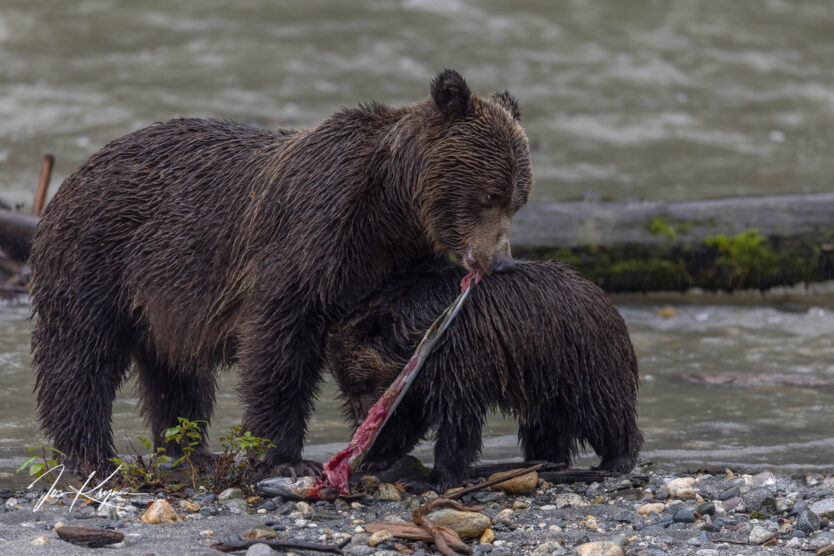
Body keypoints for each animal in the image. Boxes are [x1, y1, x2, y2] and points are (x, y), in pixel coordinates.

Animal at [30, 69, 532, 478]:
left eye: (518, 198)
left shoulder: (390, 265)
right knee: (81, 355)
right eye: (490, 194)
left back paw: (190, 450)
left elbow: (382, 345)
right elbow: (280, 340)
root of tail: (76, 173)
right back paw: (91, 453)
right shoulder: (314, 234)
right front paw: (286, 457)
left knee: (174, 371)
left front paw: (384, 438)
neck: (391, 209)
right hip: (100, 254)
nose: (501, 261)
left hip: (164, 297)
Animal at [328, 258, 640, 488]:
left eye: (363, 383)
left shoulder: (457, 356)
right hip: (544, 375)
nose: (361, 419)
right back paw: (545, 459)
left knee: (601, 410)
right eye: (347, 387)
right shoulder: (418, 378)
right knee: (546, 422)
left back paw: (615, 460)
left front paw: (433, 479)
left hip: (580, 357)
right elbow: (407, 416)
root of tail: (603, 297)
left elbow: (456, 418)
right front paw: (377, 457)